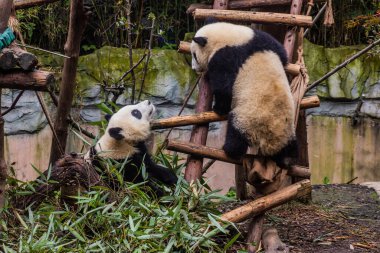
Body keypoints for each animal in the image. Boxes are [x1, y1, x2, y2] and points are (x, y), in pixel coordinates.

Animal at [190, 22, 296, 168]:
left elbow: (224, 87)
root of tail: (272, 142)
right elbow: (281, 53)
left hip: (249, 119)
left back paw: (229, 149)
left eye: (194, 55)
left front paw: (218, 108)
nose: (194, 68)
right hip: (288, 130)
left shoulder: (224, 57)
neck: (232, 37)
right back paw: (288, 158)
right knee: (291, 146)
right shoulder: (262, 39)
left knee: (236, 133)